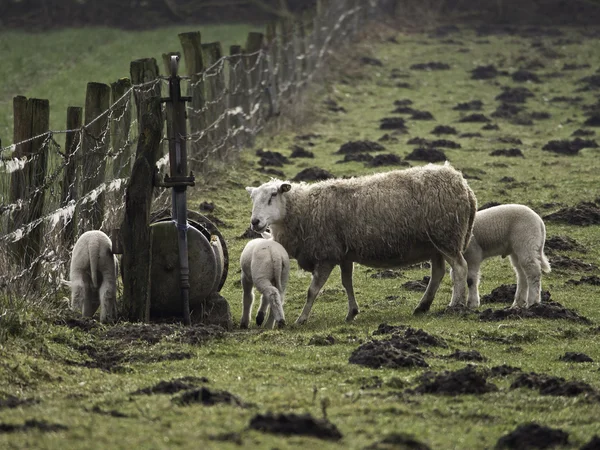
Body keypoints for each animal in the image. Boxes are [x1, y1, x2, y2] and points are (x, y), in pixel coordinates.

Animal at [246, 162, 476, 324]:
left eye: (273, 195)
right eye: (253, 199)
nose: (255, 222)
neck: (304, 208)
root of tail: (462, 183)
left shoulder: (326, 255)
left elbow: (313, 290)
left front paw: (302, 319)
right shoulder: (344, 255)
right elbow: (347, 283)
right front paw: (352, 313)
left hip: (446, 237)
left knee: (460, 268)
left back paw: (455, 304)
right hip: (435, 243)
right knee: (438, 272)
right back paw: (423, 306)